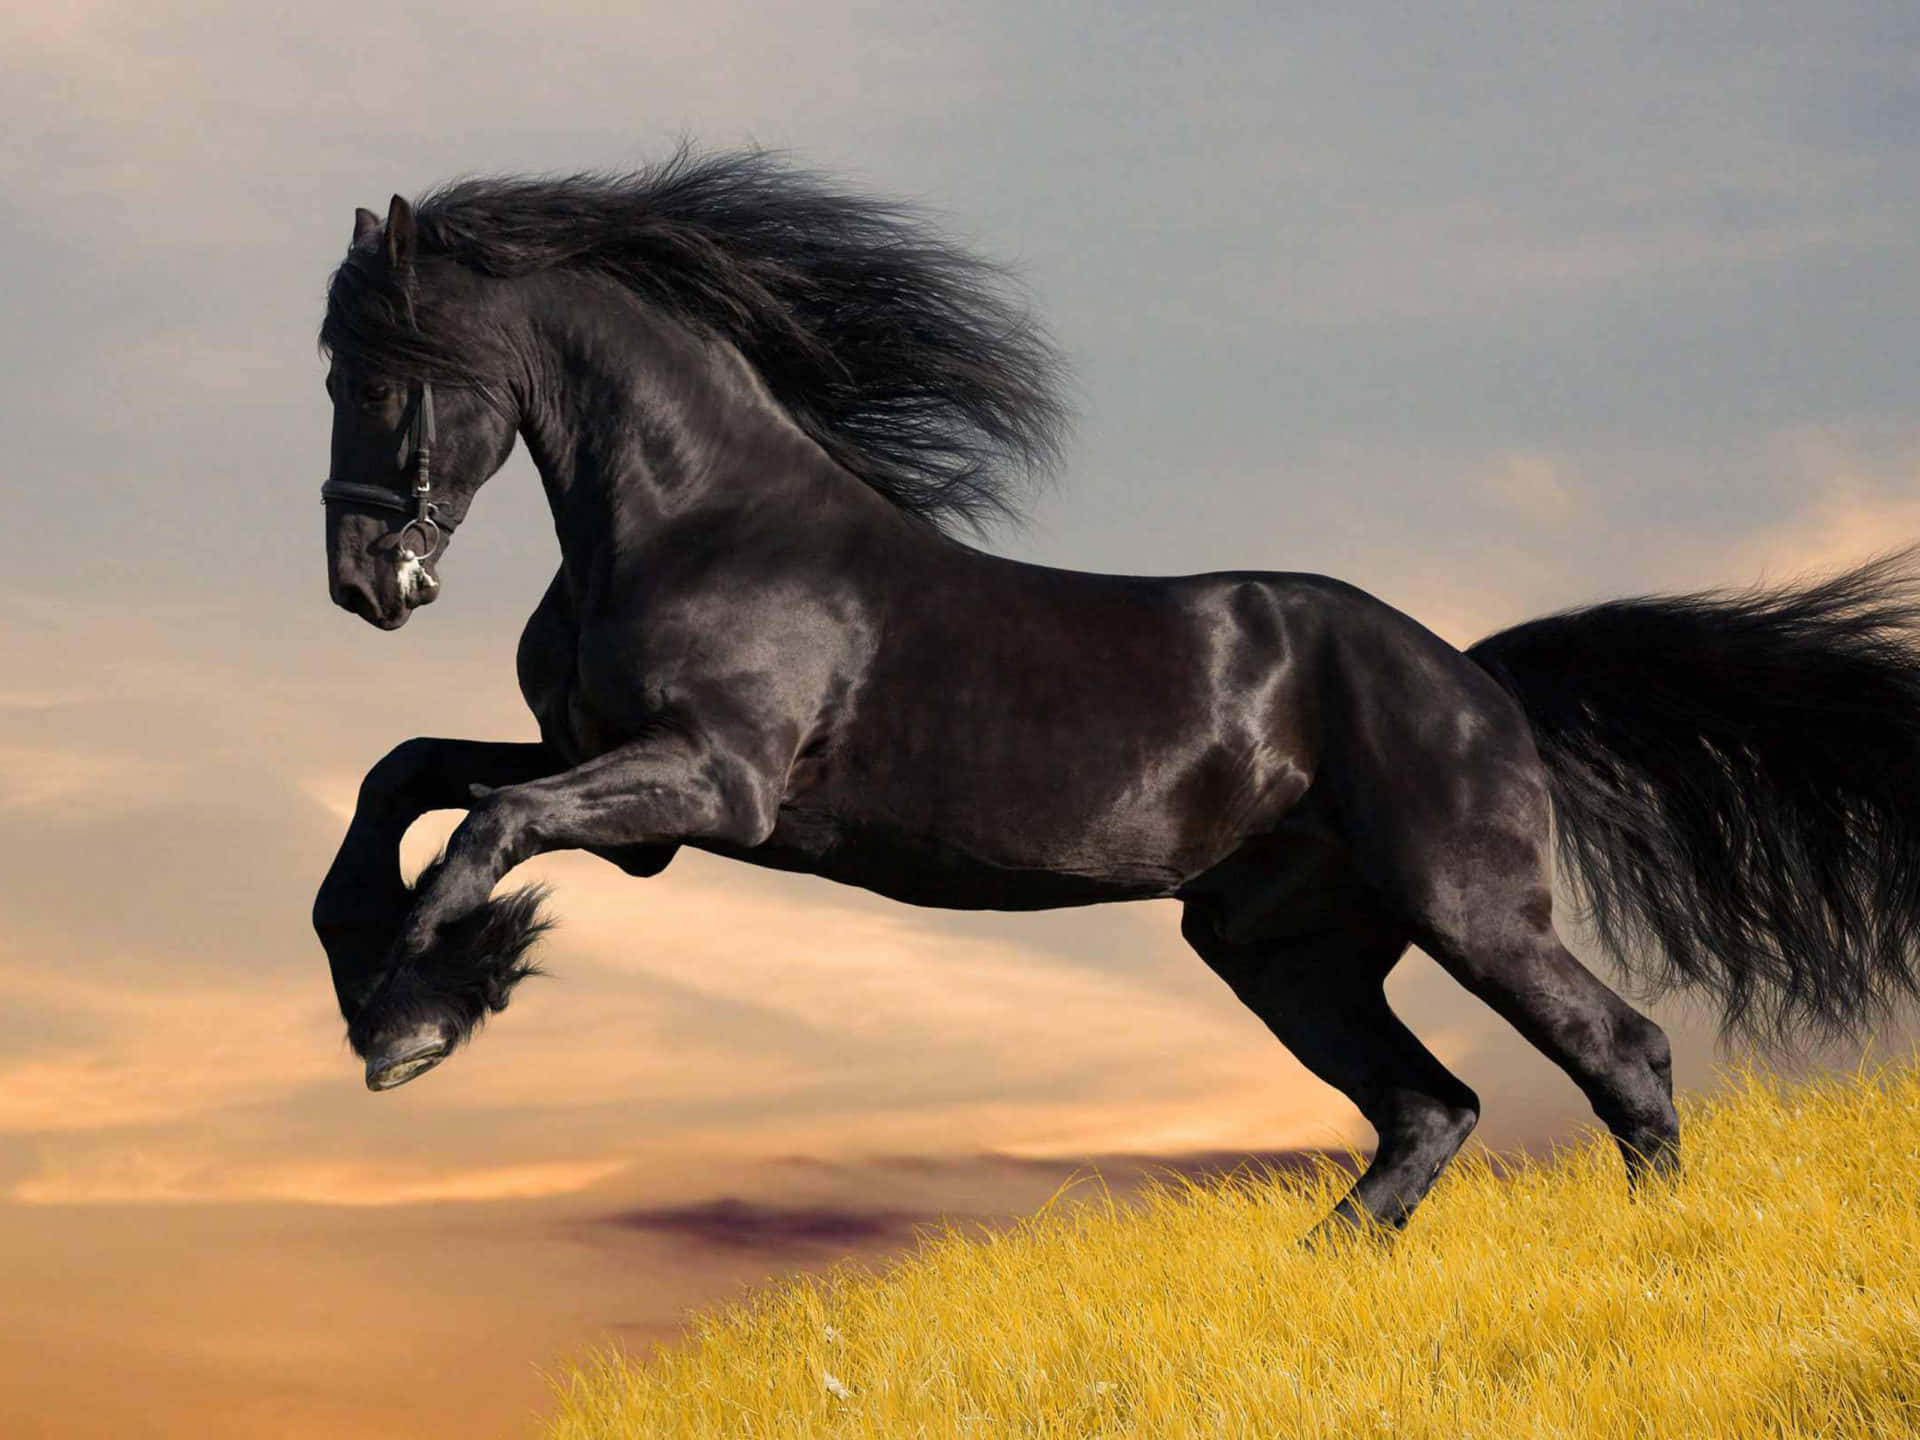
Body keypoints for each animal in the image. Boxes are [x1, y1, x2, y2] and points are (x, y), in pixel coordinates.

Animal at [314, 149, 1920, 1240]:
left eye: (379, 376)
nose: (360, 583)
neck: (701, 518)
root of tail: (1476, 678)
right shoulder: (620, 785)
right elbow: (405, 779)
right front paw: (387, 988)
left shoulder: (713, 784)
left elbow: (486, 827)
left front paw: (414, 1022)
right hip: (1282, 947)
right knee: (1429, 1109)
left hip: (1471, 908)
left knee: (1621, 1057)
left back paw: (1659, 1254)